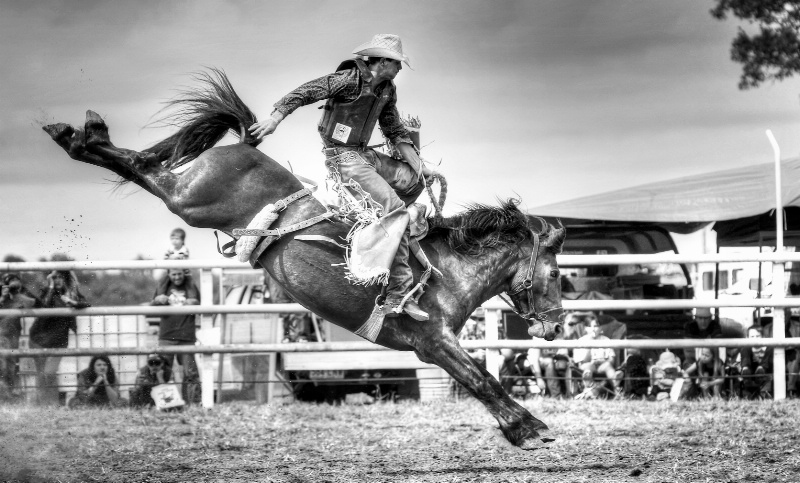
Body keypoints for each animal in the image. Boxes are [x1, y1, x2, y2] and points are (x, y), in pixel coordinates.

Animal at [43, 69, 564, 450]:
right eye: (557, 272)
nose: (557, 326)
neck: (446, 269)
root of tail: (242, 147)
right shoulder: (433, 341)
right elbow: (481, 378)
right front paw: (529, 428)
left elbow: (479, 378)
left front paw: (524, 427)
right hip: (187, 199)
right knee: (143, 168)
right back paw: (80, 135)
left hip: (187, 197)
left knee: (145, 164)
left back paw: (76, 132)